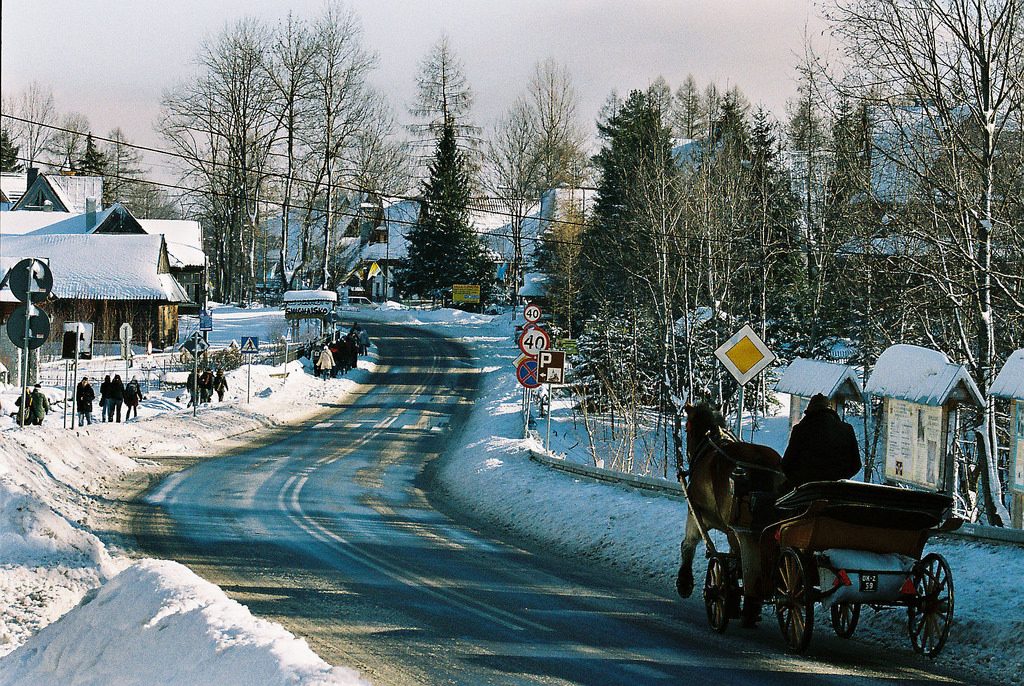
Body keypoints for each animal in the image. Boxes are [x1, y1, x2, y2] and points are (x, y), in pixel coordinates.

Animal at [679, 403, 782, 630]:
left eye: (687, 427)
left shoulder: (696, 511)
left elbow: (689, 544)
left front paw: (685, 582)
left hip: (736, 531)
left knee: (744, 565)